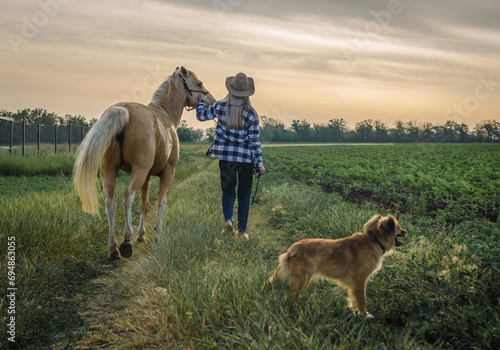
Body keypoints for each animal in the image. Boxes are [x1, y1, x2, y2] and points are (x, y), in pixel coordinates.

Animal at [73, 66, 215, 260]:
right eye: (199, 84)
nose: (212, 102)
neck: (165, 115)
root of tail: (123, 111)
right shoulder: (167, 173)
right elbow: (161, 203)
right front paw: (156, 233)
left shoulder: (147, 177)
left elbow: (144, 204)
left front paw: (141, 235)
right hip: (138, 171)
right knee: (127, 195)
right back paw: (126, 241)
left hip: (110, 170)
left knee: (110, 202)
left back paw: (113, 248)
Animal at [270, 215, 406, 318]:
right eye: (398, 227)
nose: (406, 231)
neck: (373, 240)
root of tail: (290, 250)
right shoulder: (359, 280)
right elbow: (361, 299)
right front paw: (364, 314)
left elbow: (354, 299)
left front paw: (356, 311)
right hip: (301, 279)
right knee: (291, 295)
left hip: (304, 279)